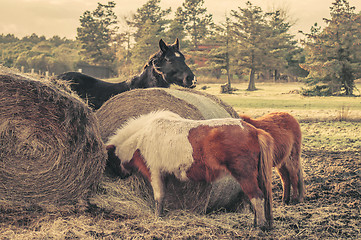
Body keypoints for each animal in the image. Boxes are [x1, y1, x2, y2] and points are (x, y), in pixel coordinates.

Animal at [105, 110, 272, 229]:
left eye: (110, 160)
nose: (119, 176)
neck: (143, 137)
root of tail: (254, 131)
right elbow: (163, 197)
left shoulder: (155, 172)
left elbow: (158, 197)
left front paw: (157, 217)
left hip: (245, 175)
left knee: (257, 196)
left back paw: (260, 226)